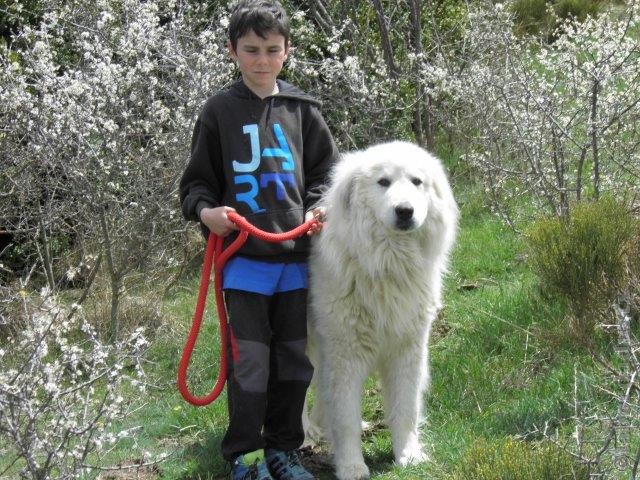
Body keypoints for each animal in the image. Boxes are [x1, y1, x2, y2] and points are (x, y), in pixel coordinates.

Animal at [308, 141, 458, 478]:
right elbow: (345, 419)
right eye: (383, 182)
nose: (405, 211)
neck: (388, 263)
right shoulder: (344, 355)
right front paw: (351, 466)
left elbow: (405, 410)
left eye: (417, 182)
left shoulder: (408, 351)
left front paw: (408, 455)